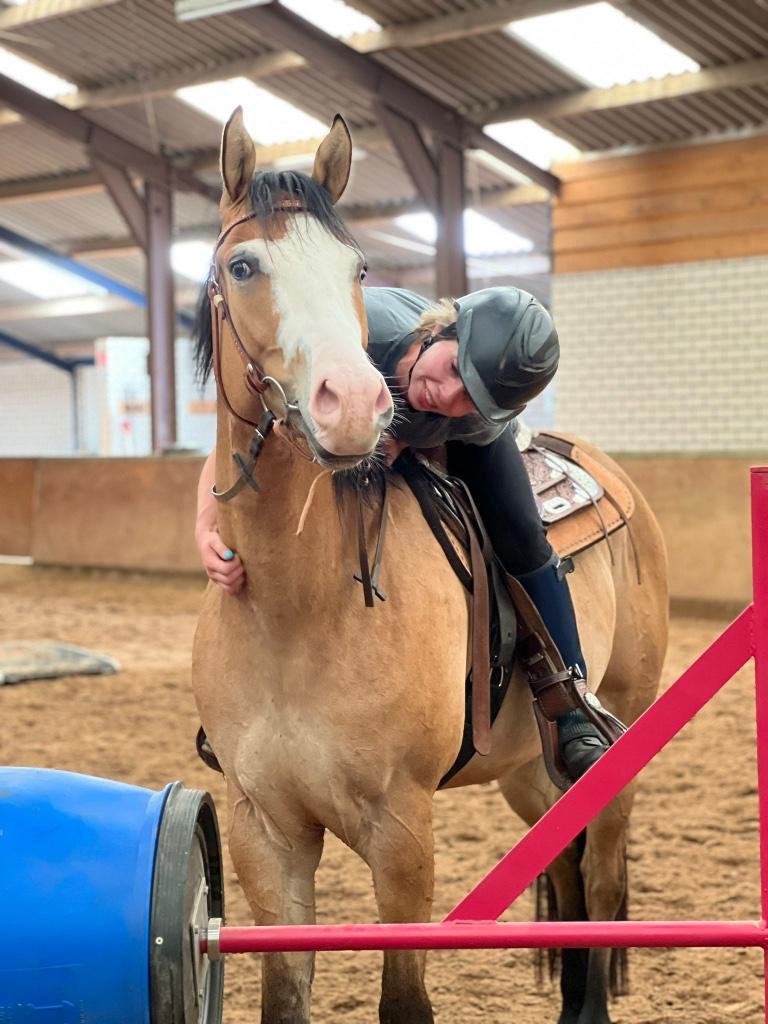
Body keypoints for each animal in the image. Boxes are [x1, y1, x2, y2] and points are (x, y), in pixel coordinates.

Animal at [191, 107, 669, 1024]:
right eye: (244, 265)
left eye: (357, 267)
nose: (353, 402)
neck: (298, 611)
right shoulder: (264, 831)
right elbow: (282, 995)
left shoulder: (401, 832)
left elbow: (404, 1000)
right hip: (527, 772)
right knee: (562, 866)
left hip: (619, 736)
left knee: (597, 876)